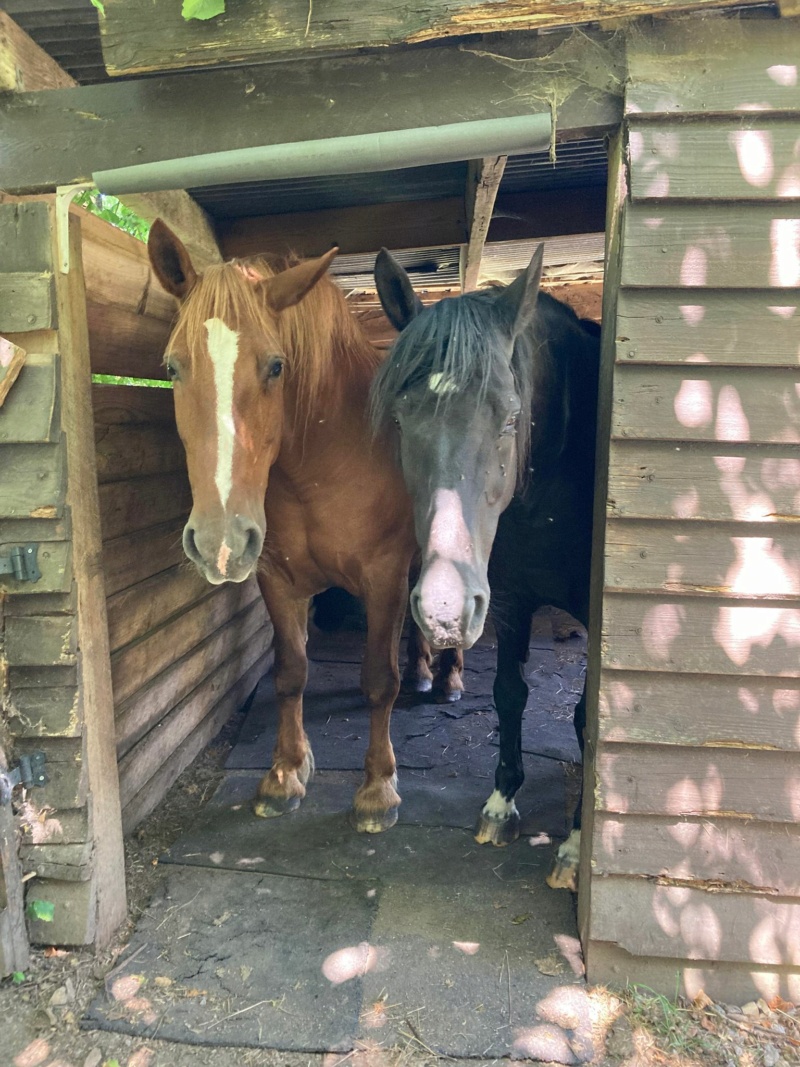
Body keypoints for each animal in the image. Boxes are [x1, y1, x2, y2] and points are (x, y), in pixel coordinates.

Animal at [147, 220, 460, 827]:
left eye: (276, 366)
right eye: (173, 366)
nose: (220, 542)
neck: (325, 464)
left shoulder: (383, 577)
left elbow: (378, 681)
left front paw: (378, 788)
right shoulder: (277, 577)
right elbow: (290, 671)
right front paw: (285, 774)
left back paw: (449, 677)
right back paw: (424, 671)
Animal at [373, 245, 597, 887]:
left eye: (510, 418)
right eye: (402, 419)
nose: (445, 609)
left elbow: (585, 717)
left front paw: (576, 842)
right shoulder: (513, 602)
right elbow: (508, 695)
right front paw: (501, 804)